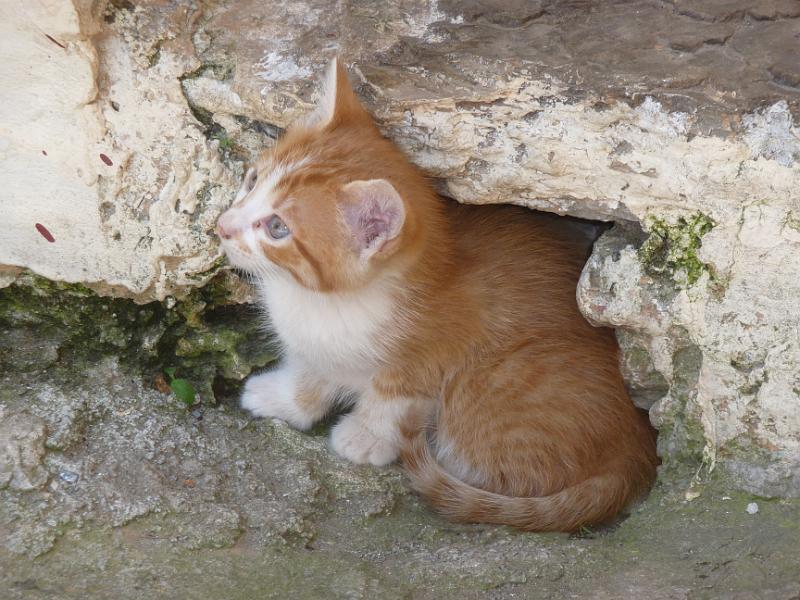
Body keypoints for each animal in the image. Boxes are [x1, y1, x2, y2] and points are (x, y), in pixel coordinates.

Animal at [217, 59, 656, 528]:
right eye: (251, 180)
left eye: (276, 227)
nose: (222, 226)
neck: (324, 301)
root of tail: (636, 451)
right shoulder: (315, 347)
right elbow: (310, 375)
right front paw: (283, 399)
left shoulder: (433, 354)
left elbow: (392, 397)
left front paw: (364, 437)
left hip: (485, 388)